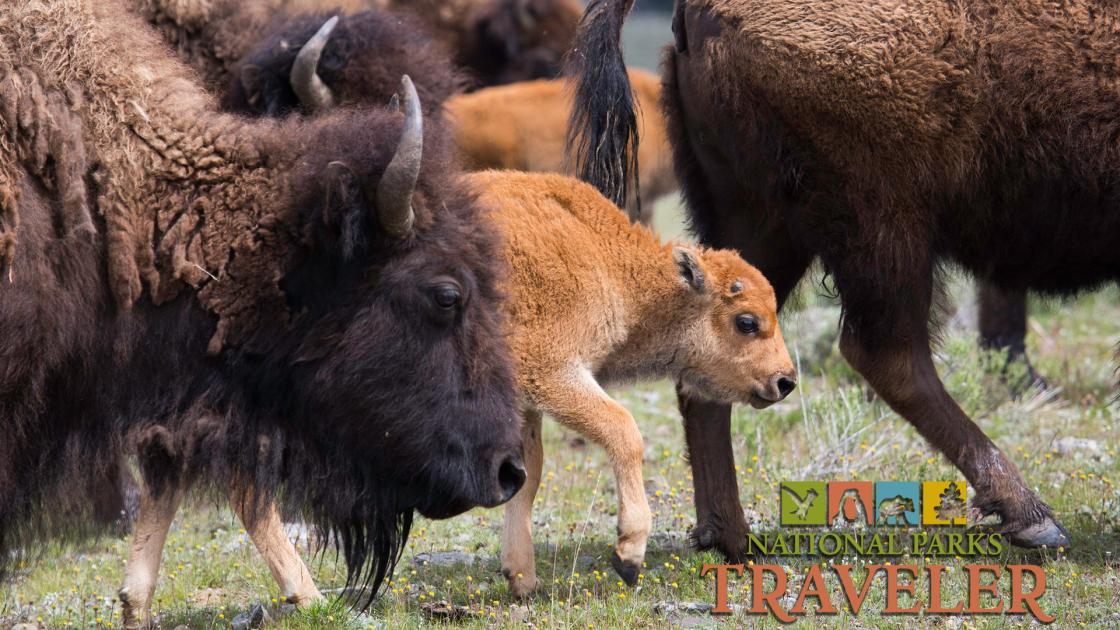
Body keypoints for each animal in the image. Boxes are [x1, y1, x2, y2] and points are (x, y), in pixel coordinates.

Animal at [568, 0, 1111, 558]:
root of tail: (696, 8)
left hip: (766, 226)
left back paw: (731, 537)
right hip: (884, 225)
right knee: (890, 355)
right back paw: (1033, 517)